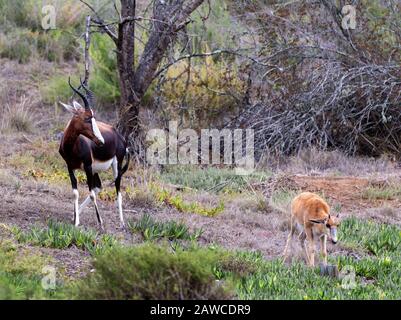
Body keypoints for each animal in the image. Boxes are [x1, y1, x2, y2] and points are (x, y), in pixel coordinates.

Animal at [58, 79, 130, 230]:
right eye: (87, 118)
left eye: (93, 117)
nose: (101, 141)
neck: (72, 147)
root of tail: (120, 137)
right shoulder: (70, 167)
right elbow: (75, 192)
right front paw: (76, 221)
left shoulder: (87, 167)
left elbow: (91, 194)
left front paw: (100, 222)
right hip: (95, 169)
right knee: (98, 187)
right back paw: (74, 215)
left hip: (115, 165)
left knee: (118, 190)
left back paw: (122, 222)